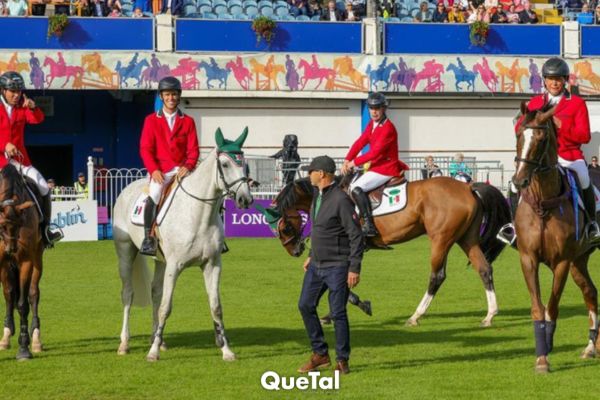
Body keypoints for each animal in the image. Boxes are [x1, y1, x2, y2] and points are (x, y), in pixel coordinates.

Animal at [112, 128, 253, 362]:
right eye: (225, 164)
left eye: (245, 164)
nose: (245, 199)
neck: (199, 214)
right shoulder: (174, 266)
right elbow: (165, 307)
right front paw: (152, 353)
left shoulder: (212, 265)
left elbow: (216, 307)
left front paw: (226, 350)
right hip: (125, 252)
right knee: (128, 294)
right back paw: (125, 343)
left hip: (160, 261)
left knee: (155, 292)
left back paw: (158, 339)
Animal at [264, 173, 510, 326]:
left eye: (284, 227)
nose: (295, 251)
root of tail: (468, 186)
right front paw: (334, 313)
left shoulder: (351, 247)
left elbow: (342, 281)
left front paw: (356, 306)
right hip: (466, 239)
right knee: (484, 269)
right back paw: (490, 315)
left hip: (441, 240)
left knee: (437, 276)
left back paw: (415, 316)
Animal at [510, 102, 600, 372]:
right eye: (520, 134)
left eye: (541, 139)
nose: (519, 180)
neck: (543, 203)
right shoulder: (528, 259)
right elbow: (537, 308)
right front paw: (541, 355)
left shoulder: (561, 262)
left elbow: (551, 307)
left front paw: (546, 350)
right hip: (579, 260)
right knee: (590, 292)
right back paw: (591, 346)